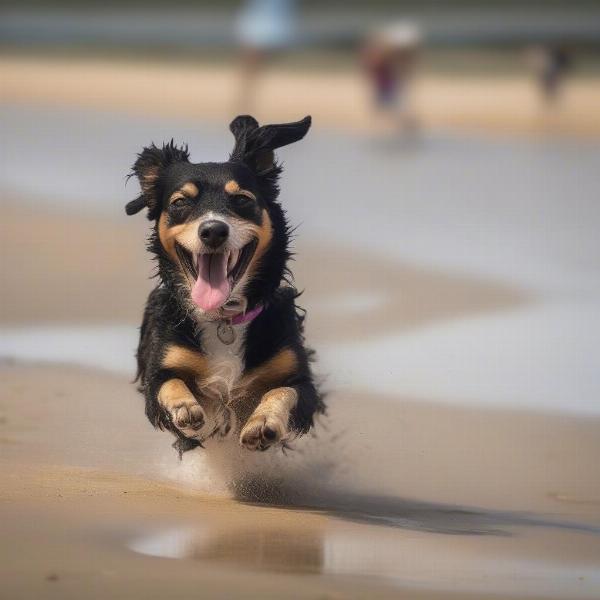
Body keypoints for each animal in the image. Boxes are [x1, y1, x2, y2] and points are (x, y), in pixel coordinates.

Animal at [125, 115, 326, 454]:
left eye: (242, 199)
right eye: (180, 202)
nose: (213, 230)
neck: (223, 319)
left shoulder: (299, 380)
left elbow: (282, 391)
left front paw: (263, 423)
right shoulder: (162, 366)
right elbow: (169, 383)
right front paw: (186, 409)